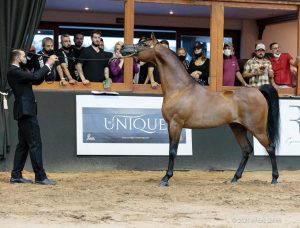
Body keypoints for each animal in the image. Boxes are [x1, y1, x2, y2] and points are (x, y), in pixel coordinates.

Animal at [120, 34, 280, 187]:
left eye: (144, 44)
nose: (123, 48)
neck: (180, 88)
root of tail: (258, 90)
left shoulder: (176, 124)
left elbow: (173, 151)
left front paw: (166, 178)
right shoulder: (170, 125)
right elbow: (170, 149)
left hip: (257, 129)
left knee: (270, 148)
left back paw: (274, 179)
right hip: (237, 127)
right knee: (246, 150)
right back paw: (235, 178)